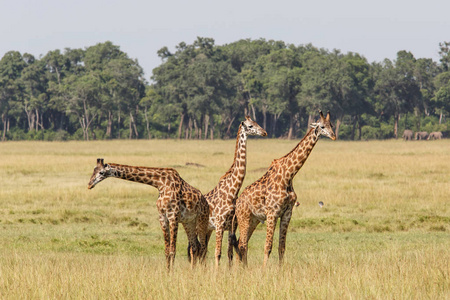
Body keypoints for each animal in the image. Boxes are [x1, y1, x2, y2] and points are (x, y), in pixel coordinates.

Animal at [200, 116, 268, 266]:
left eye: (256, 123)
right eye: (250, 126)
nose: (264, 132)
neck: (233, 192)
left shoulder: (232, 225)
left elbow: (229, 253)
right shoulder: (219, 224)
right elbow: (218, 253)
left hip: (208, 229)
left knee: (202, 251)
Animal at [236, 110, 334, 268]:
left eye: (331, 125)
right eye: (322, 126)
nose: (333, 135)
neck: (289, 175)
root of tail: (238, 202)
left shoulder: (287, 213)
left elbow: (281, 246)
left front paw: (280, 269)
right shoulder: (272, 213)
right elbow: (268, 246)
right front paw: (264, 270)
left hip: (254, 220)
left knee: (241, 242)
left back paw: (243, 268)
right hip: (243, 217)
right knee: (242, 243)